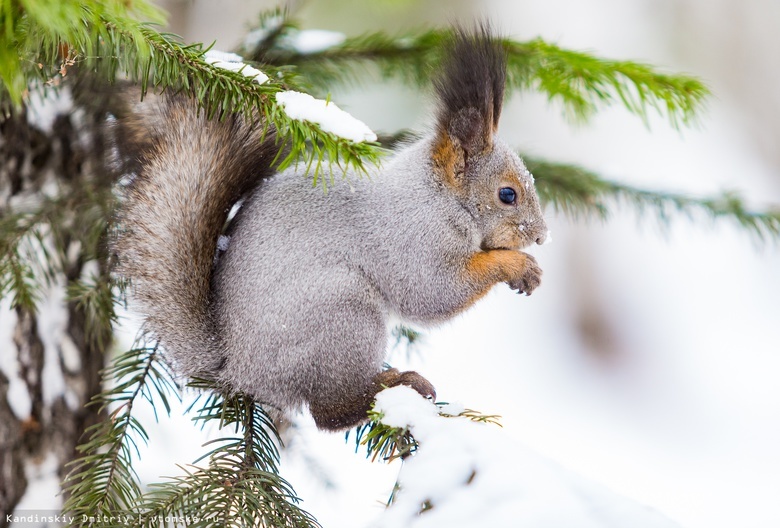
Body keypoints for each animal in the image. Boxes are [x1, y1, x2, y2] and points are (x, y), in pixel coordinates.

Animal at [111, 26, 548, 432]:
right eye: (507, 194)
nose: (541, 236)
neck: (437, 196)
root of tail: (237, 367)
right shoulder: (413, 239)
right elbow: (432, 293)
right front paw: (518, 266)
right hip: (344, 311)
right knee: (330, 413)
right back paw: (395, 385)